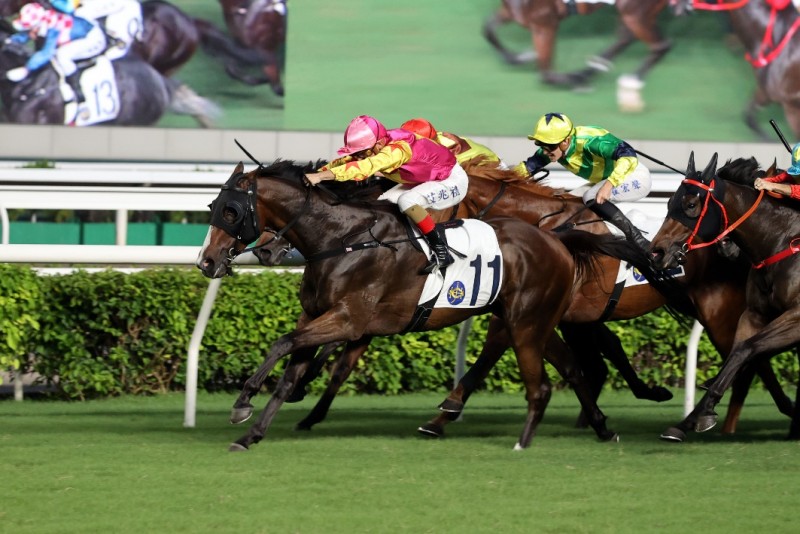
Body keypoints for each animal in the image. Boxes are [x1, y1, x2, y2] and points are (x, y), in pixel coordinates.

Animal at [194, 159, 636, 452]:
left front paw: (243, 403)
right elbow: (290, 372)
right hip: (532, 321)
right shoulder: (318, 316)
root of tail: (557, 237)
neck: (342, 239)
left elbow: (283, 343)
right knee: (574, 368)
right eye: (212, 207)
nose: (207, 262)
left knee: (554, 373)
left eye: (232, 211)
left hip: (528, 320)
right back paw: (603, 428)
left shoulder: (348, 319)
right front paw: (252, 433)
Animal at [482, 0, 676, 88]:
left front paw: (573, 80)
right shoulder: (512, 12)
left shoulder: (544, 24)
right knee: (626, 38)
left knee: (660, 45)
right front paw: (518, 58)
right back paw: (589, 70)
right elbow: (488, 30)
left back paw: (633, 79)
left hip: (634, 12)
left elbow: (546, 75)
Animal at [648, 153, 800, 442]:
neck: (781, 242)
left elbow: (745, 349)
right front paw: (689, 420)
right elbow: (739, 354)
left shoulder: (796, 318)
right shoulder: (754, 315)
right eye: (669, 202)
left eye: (691, 204)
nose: (656, 253)